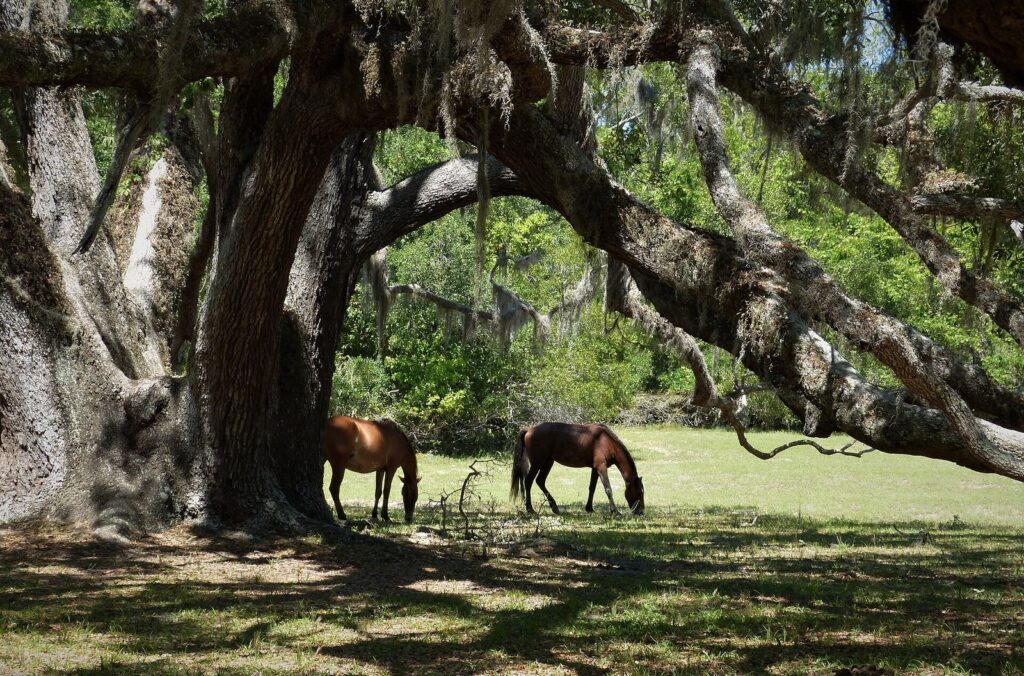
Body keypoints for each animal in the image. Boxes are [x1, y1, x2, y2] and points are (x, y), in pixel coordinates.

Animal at [510, 422, 645, 515]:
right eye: (639, 492)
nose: (641, 511)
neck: (606, 441)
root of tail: (529, 429)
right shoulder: (601, 467)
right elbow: (608, 489)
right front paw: (615, 511)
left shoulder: (595, 468)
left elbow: (592, 488)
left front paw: (589, 508)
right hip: (538, 463)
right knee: (528, 481)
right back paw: (530, 509)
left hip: (548, 461)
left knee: (540, 481)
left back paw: (554, 507)